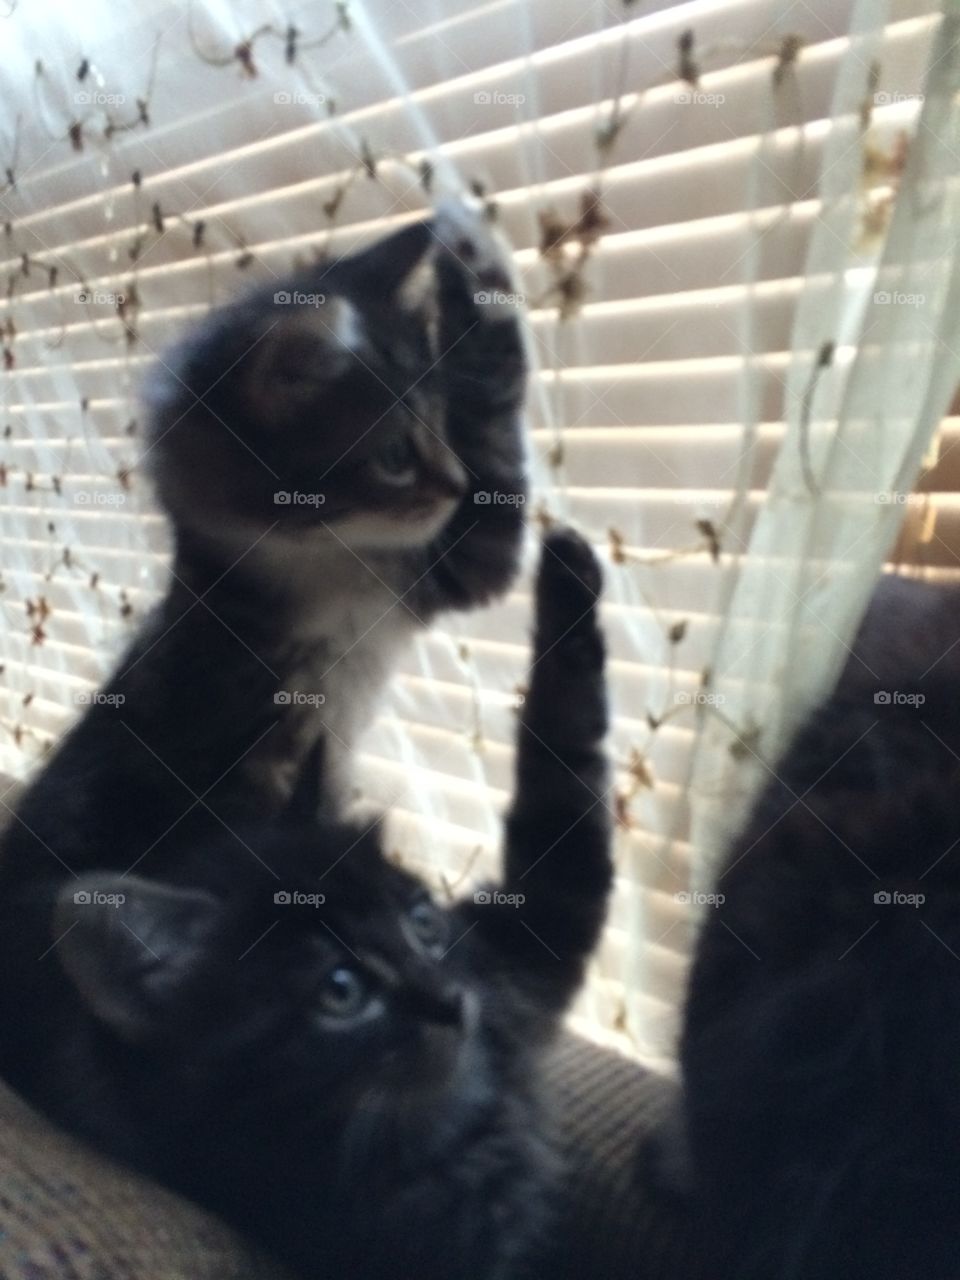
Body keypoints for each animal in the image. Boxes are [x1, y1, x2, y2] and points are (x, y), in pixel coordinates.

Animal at [0, 202, 527, 890]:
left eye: (439, 425)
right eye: (394, 456)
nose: (457, 485)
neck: (320, 563)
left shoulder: (430, 571)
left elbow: (495, 447)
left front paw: (471, 248)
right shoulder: (234, 771)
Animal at [0, 529, 616, 1280]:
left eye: (423, 923)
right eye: (341, 990)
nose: (451, 1002)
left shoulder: (512, 969)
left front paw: (567, 578)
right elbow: (566, 821)